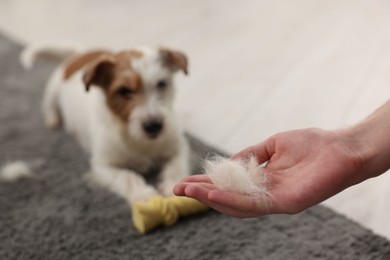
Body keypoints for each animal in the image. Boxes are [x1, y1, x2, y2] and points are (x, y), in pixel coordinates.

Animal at [21, 44, 190, 203]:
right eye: (124, 90)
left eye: (161, 84)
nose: (154, 126)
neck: (135, 138)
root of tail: (81, 53)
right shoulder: (102, 166)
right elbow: (126, 176)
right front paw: (142, 193)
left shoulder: (179, 149)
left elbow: (176, 166)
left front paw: (174, 186)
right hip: (51, 92)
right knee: (49, 107)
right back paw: (53, 120)